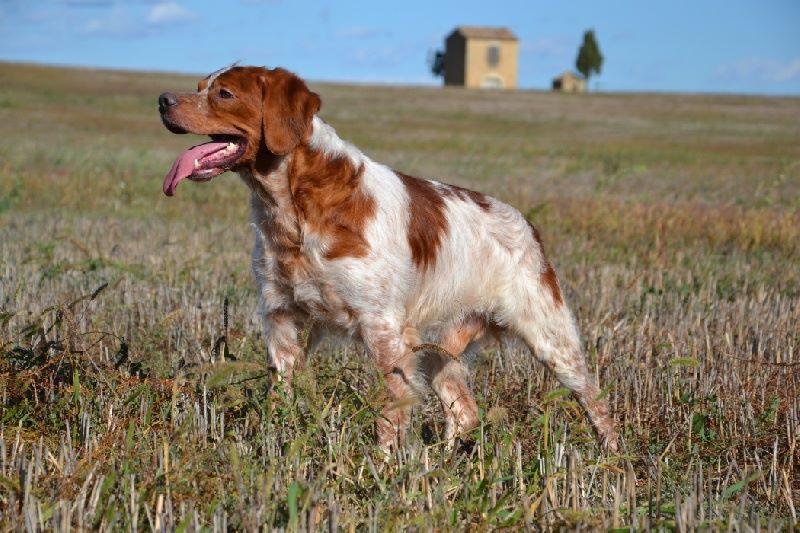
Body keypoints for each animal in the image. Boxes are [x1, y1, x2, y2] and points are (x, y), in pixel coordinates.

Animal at [158, 64, 620, 450]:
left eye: (224, 93)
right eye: (199, 87)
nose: (162, 100)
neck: (294, 209)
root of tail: (525, 223)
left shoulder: (382, 328)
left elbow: (391, 410)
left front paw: (384, 470)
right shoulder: (281, 317)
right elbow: (283, 394)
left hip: (550, 337)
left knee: (595, 401)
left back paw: (614, 461)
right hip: (438, 347)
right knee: (464, 412)